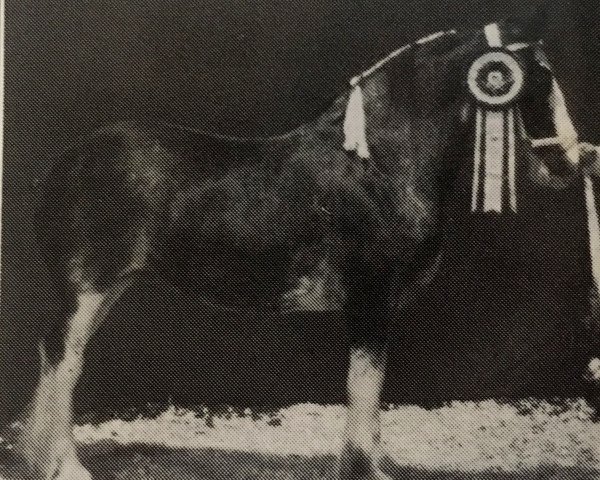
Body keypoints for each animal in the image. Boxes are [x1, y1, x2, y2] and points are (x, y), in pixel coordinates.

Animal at [14, 10, 584, 480]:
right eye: (542, 78)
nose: (570, 163)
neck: (380, 163)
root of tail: (61, 166)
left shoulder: (381, 307)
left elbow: (371, 389)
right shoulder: (369, 301)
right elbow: (363, 388)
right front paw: (364, 470)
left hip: (108, 287)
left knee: (60, 361)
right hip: (87, 288)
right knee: (63, 362)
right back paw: (66, 468)